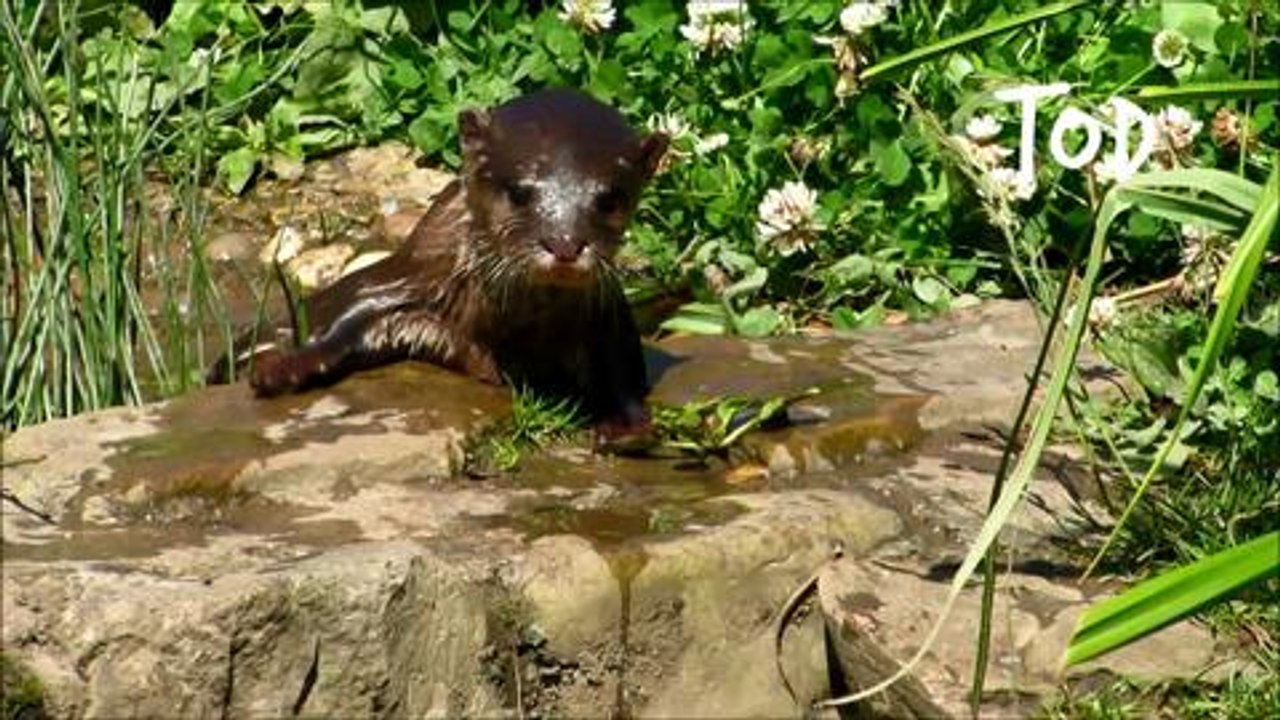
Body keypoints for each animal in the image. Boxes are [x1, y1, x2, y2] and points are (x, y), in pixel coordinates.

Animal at [209, 89, 668, 449]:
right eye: (519, 192)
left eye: (609, 199)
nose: (565, 244)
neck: (515, 330)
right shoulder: (409, 281)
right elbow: (348, 318)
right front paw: (285, 367)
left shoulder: (606, 315)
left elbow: (621, 369)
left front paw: (628, 426)